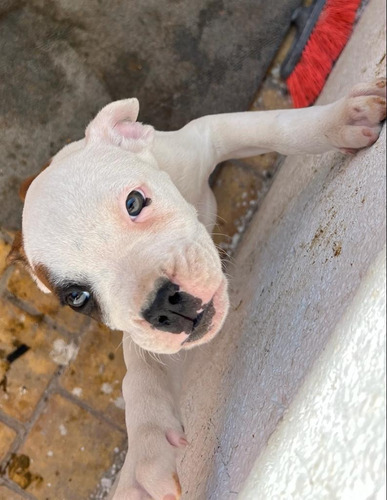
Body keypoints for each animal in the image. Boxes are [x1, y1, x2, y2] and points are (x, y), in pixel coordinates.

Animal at [7, 78, 386, 500]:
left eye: (134, 202)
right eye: (77, 298)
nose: (163, 306)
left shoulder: (210, 134)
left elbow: (279, 127)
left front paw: (340, 121)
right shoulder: (152, 341)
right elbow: (140, 372)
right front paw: (146, 449)